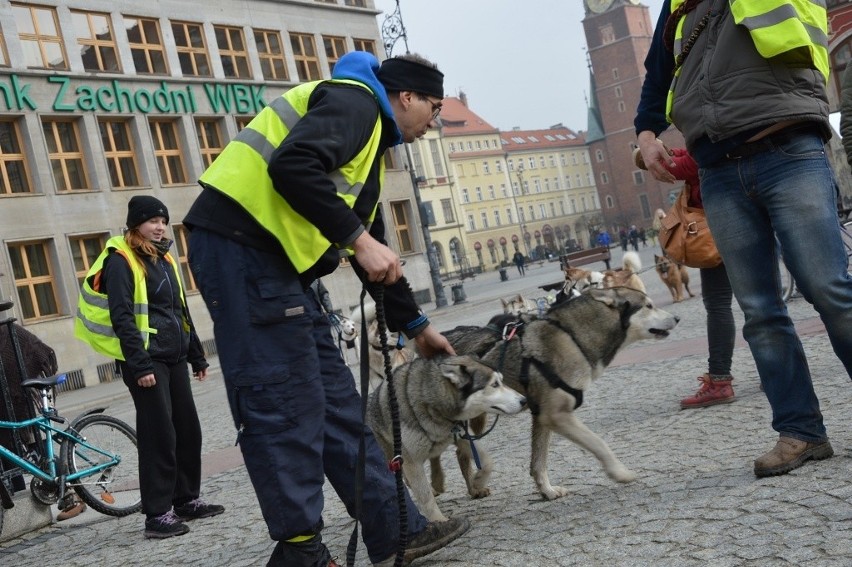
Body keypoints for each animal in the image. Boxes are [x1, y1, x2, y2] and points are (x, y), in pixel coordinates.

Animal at [368, 358, 524, 520]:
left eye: (501, 381)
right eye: (494, 384)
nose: (524, 400)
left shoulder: (462, 437)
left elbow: (488, 462)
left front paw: (478, 481)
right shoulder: (412, 461)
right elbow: (425, 497)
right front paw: (439, 520)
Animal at [446, 288, 680, 502]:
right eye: (649, 305)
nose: (677, 318)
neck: (573, 338)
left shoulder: (541, 417)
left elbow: (538, 463)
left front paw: (547, 491)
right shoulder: (557, 415)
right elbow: (599, 444)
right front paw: (619, 472)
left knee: (461, 451)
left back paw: (473, 488)